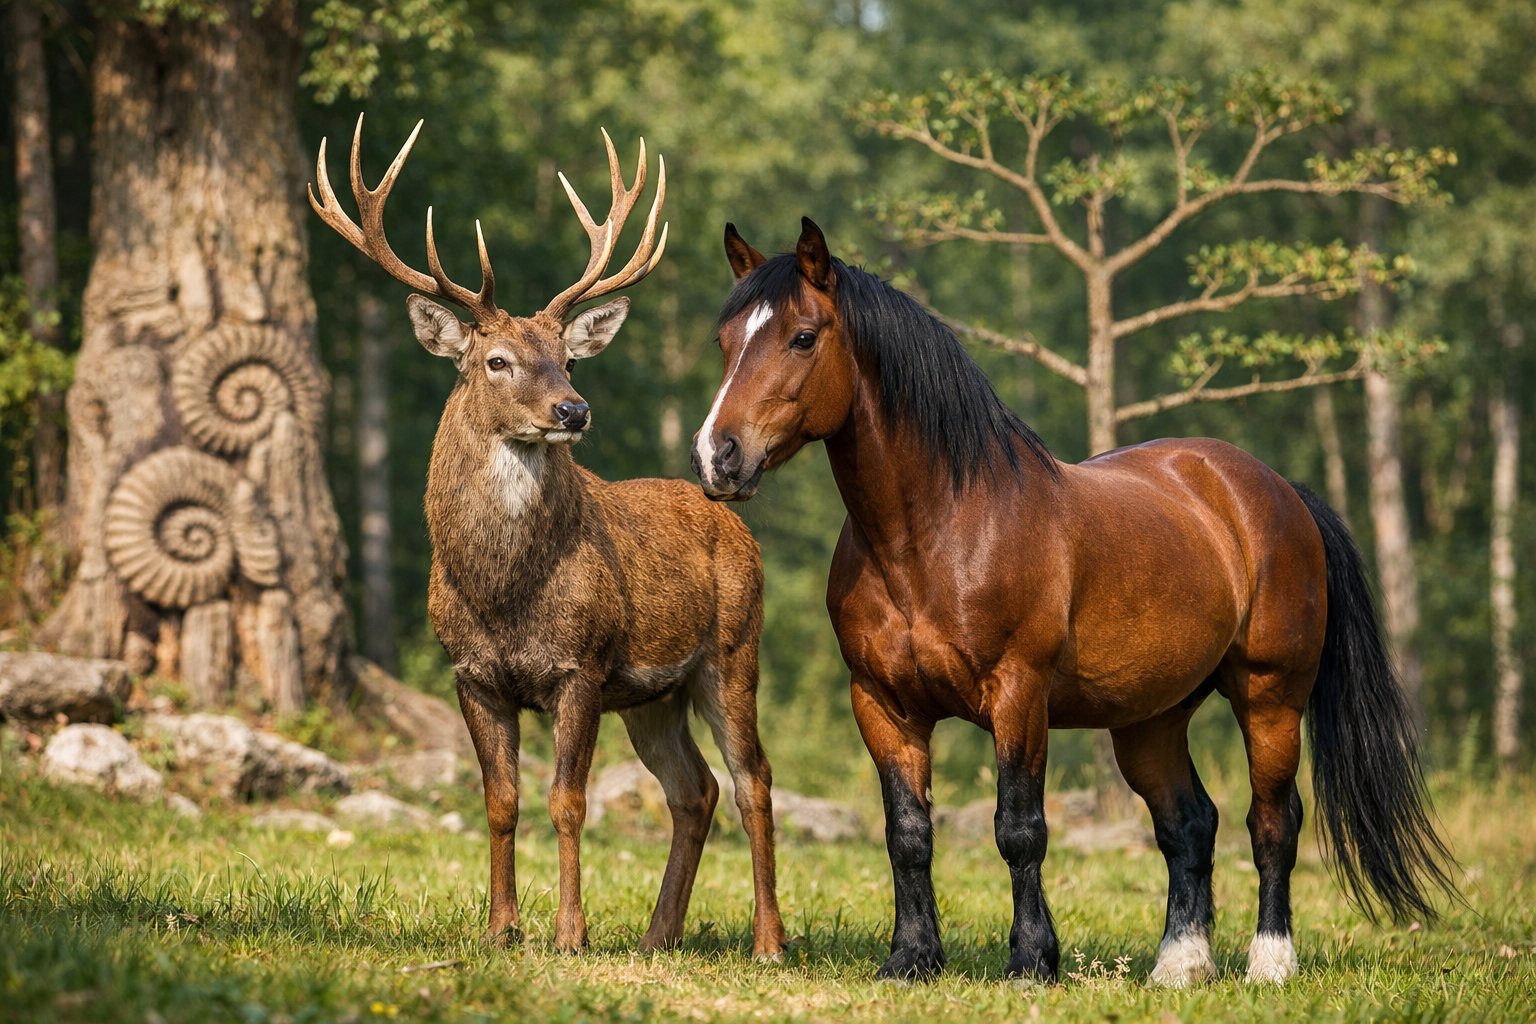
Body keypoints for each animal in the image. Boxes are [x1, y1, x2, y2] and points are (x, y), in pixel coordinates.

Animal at [309, 115, 785, 958]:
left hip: (732, 651)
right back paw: (658, 936)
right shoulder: (471, 673)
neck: (503, 590)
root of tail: (732, 519)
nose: (574, 409)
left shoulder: (581, 666)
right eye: (496, 360)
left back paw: (768, 942)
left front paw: (570, 933)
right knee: (694, 787)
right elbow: (500, 801)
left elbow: (568, 801)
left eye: (567, 358)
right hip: (653, 694)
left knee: (752, 779)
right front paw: (501, 928)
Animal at [689, 217, 1455, 986]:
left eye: (802, 337)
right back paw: (1180, 964)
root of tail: (1276, 489)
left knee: (1272, 822)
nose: (716, 456)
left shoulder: (1019, 695)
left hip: (1270, 698)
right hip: (1149, 720)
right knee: (1190, 824)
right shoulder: (882, 703)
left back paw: (1269, 962)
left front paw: (1032, 960)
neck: (938, 530)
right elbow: (907, 834)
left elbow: (1019, 830)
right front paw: (911, 959)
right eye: (722, 341)